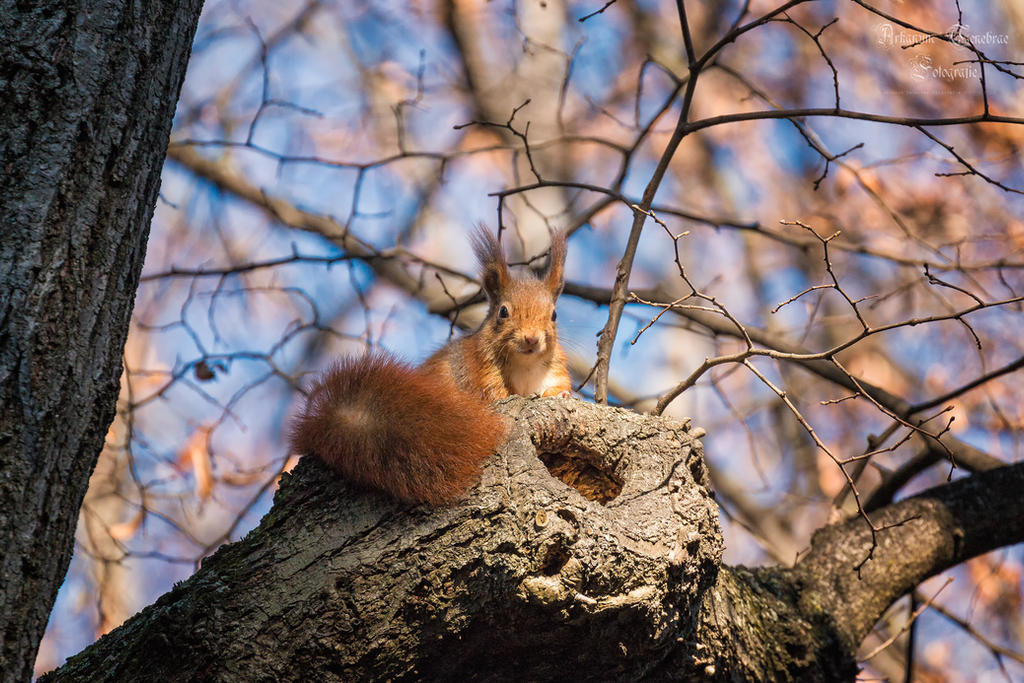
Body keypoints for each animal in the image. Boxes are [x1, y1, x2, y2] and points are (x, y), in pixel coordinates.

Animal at [292, 232, 573, 505]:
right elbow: (494, 393)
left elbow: (558, 385)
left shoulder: (554, 368)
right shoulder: (480, 367)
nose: (531, 339)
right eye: (503, 312)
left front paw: (560, 394)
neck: (525, 365)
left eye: (554, 315)